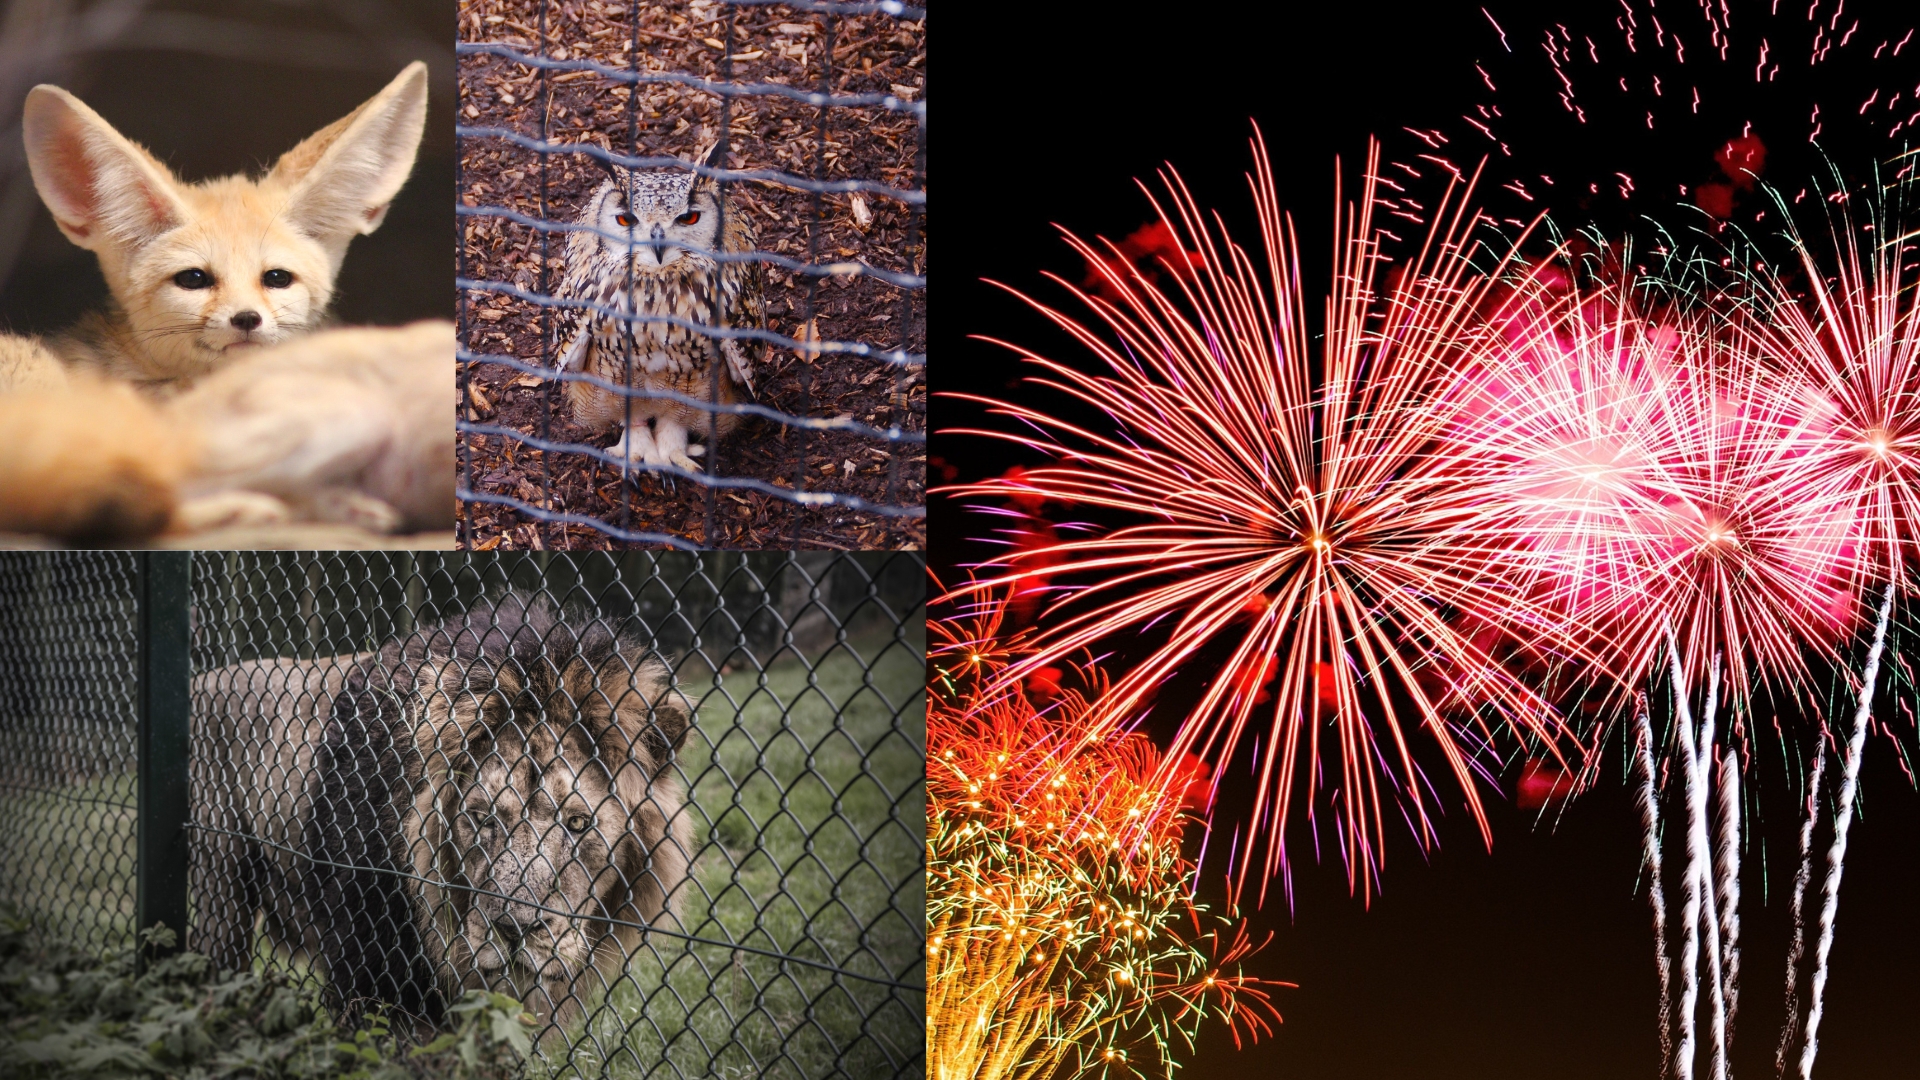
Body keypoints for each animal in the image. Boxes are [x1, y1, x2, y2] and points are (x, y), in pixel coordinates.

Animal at [187, 599, 695, 1030]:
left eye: (577, 823)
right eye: (483, 818)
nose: (514, 930)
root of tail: (202, 679)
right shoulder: (371, 963)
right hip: (219, 890)